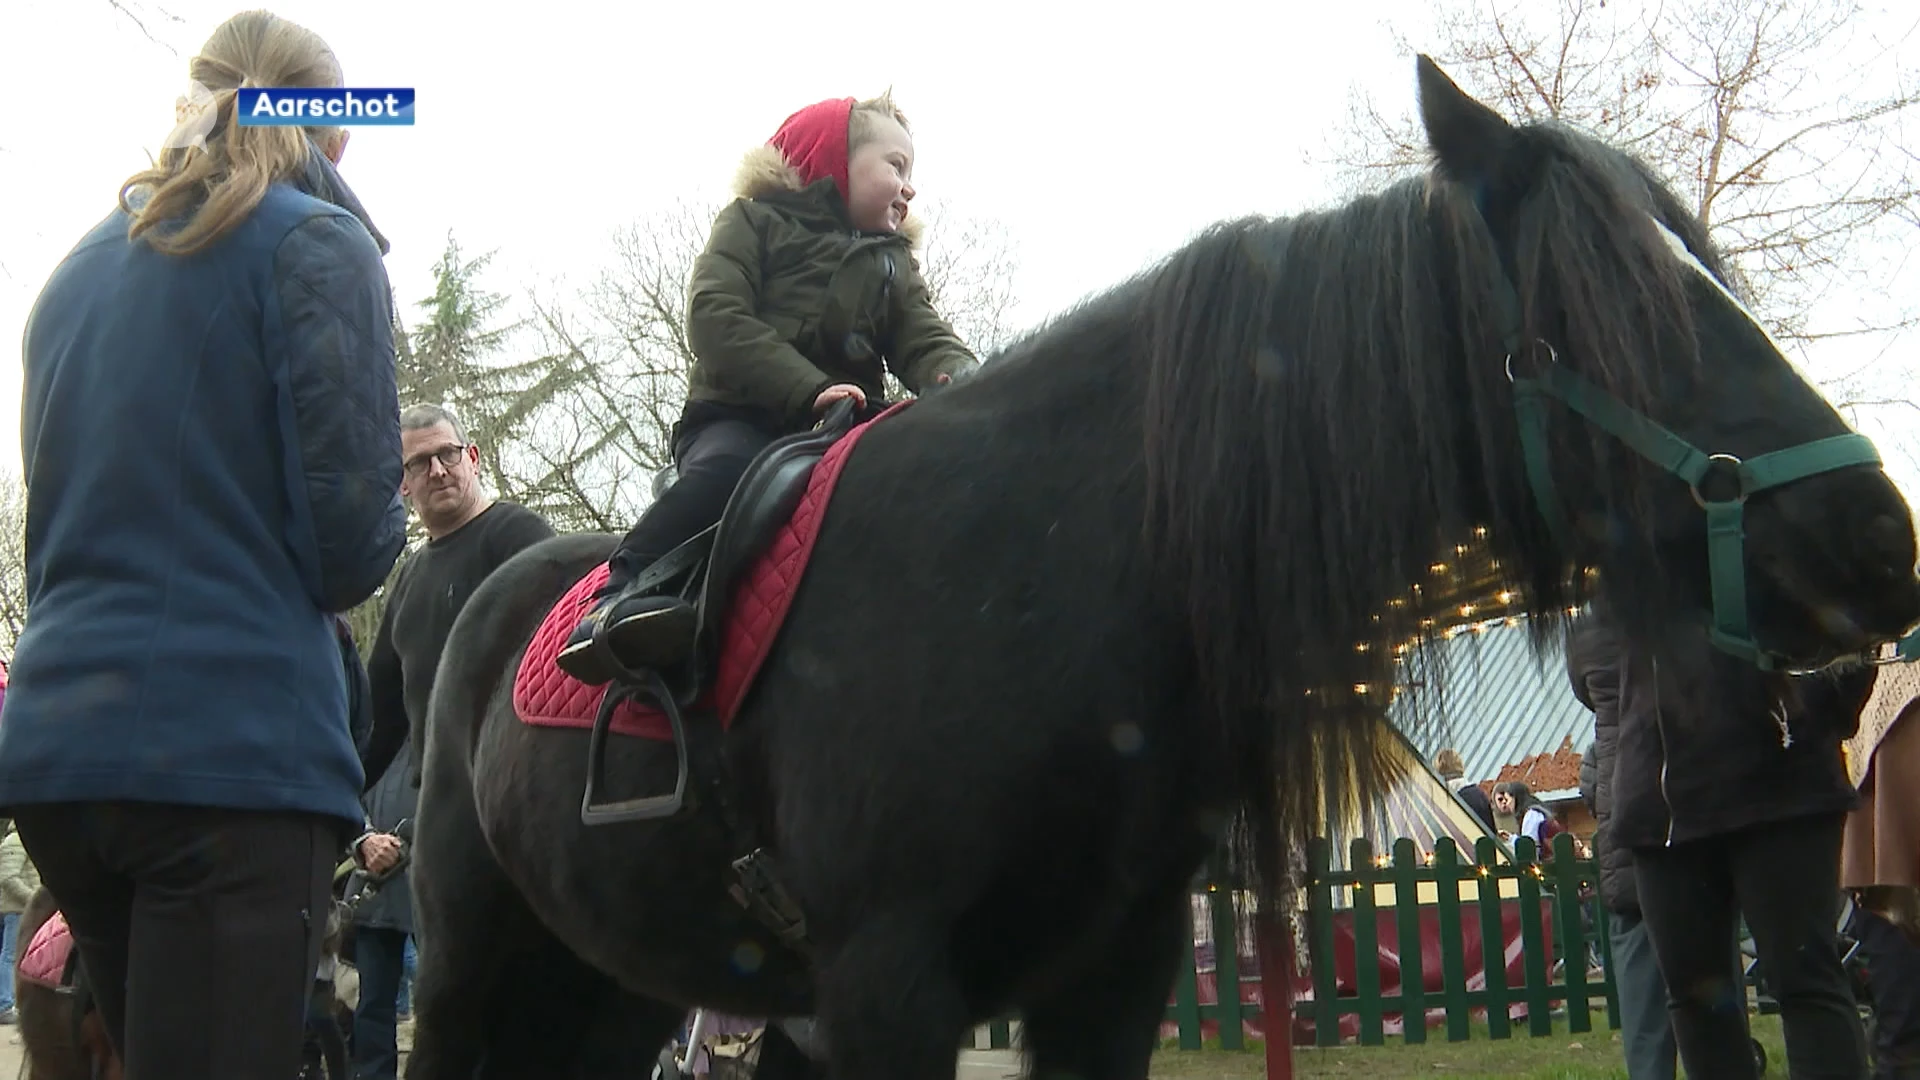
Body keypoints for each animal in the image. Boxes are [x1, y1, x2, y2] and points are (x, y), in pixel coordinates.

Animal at [405, 61, 1920, 1076]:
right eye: (1623, 309)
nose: (1877, 542)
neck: (1038, 576)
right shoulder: (882, 988)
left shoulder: (1107, 977)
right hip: (474, 962)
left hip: (613, 981)